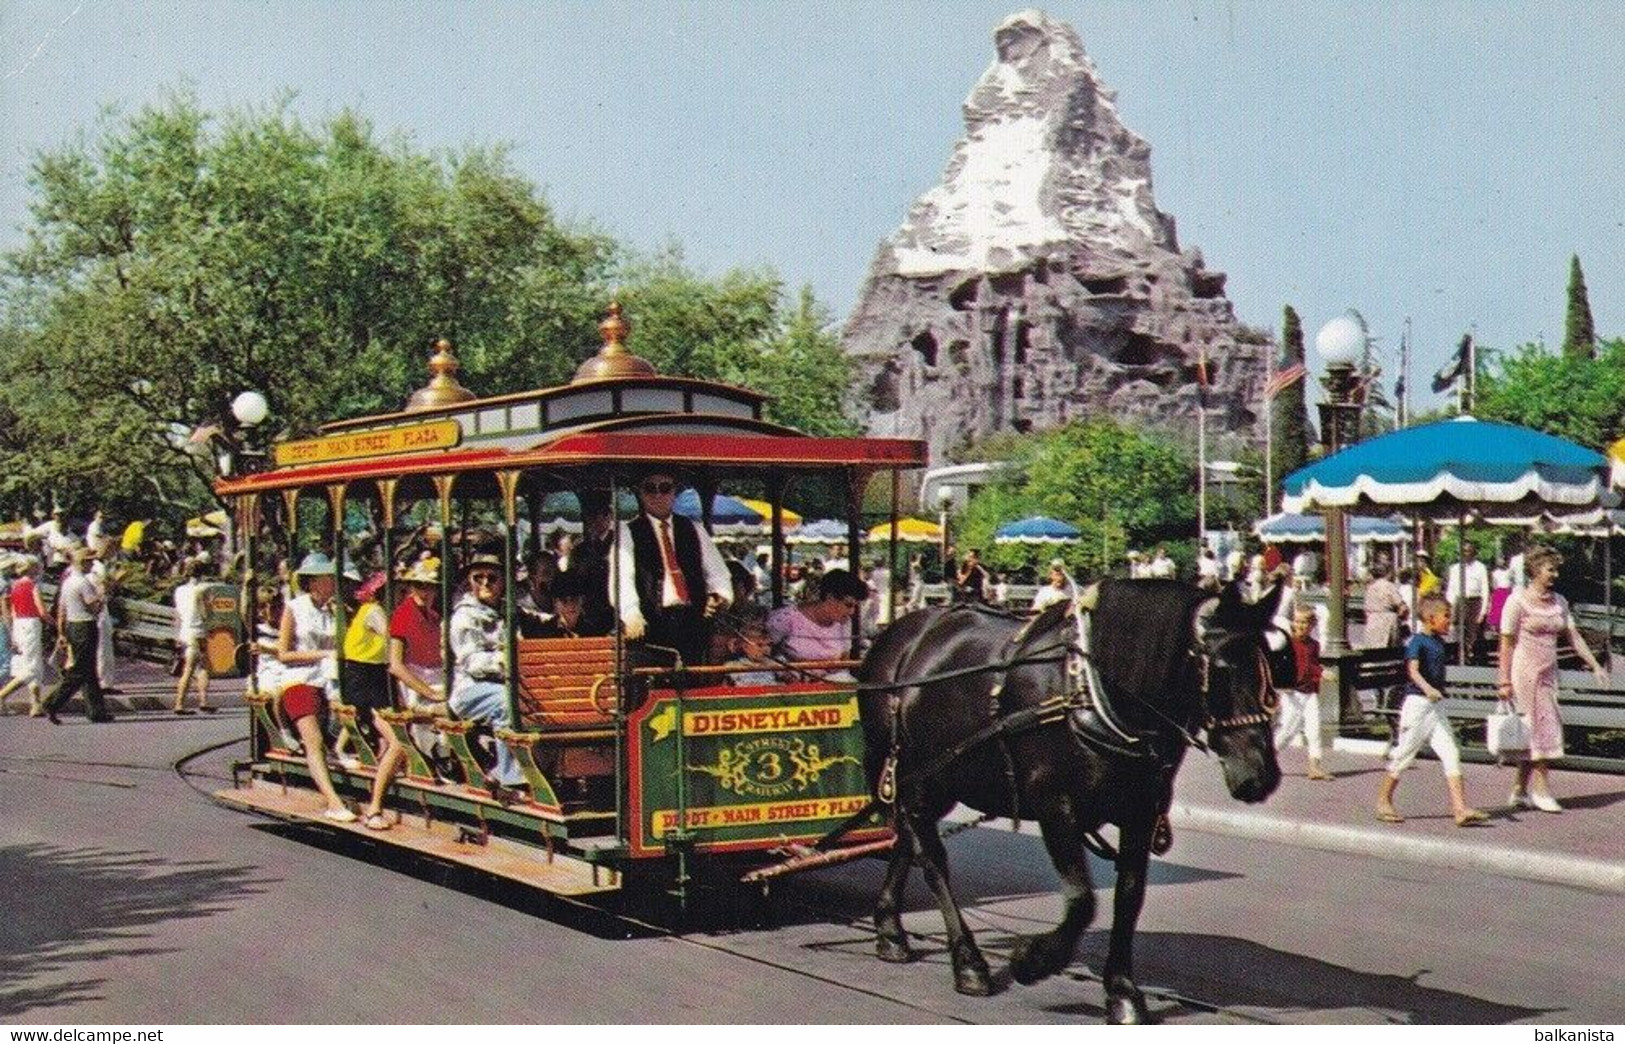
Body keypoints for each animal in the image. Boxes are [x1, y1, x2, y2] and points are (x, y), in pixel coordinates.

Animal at [858, 582, 1287, 1021]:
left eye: (1271, 665)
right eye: (1221, 669)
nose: (1260, 775)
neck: (1092, 695)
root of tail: (901, 632)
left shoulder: (1141, 812)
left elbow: (1129, 896)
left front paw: (1122, 991)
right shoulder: (1056, 807)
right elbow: (1082, 902)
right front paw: (1031, 961)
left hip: (938, 781)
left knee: (907, 840)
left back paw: (890, 928)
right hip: (915, 776)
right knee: (932, 859)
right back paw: (968, 962)